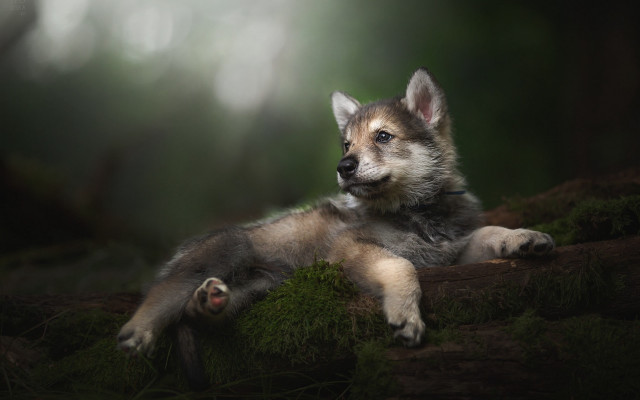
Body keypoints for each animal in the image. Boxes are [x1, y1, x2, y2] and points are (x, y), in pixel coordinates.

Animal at [117, 68, 554, 387]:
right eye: (346, 144)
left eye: (383, 136)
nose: (343, 168)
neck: (416, 211)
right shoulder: (351, 249)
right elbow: (400, 265)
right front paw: (405, 316)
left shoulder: (454, 251)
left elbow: (488, 232)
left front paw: (525, 238)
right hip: (226, 250)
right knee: (163, 292)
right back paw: (138, 331)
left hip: (262, 287)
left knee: (195, 312)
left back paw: (209, 302)